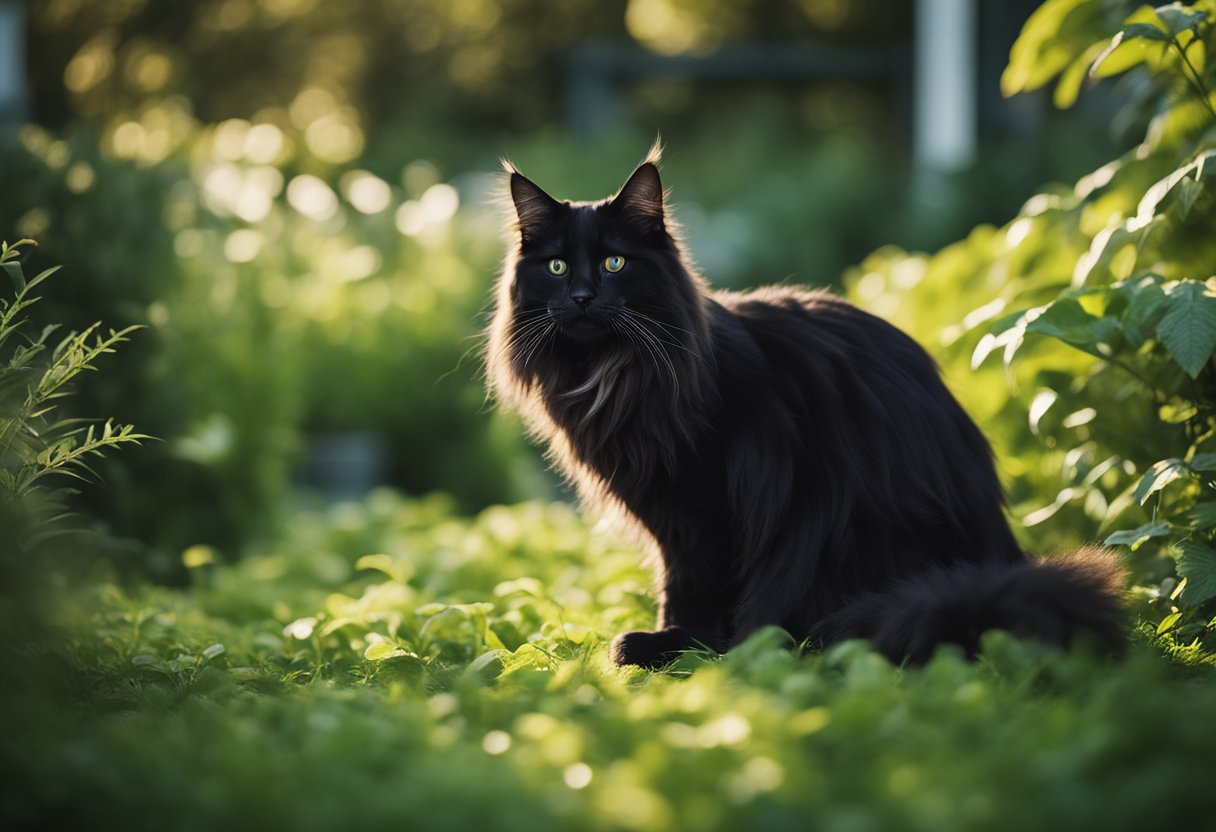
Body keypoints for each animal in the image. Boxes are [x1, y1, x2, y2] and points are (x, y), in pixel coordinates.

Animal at [481, 145, 1118, 671]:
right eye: (558, 266)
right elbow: (676, 581)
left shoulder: (703, 506)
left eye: (615, 263)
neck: (609, 376)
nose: (582, 297)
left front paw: (673, 644)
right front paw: (669, 640)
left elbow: (689, 585)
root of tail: (991, 563)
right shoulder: (666, 512)